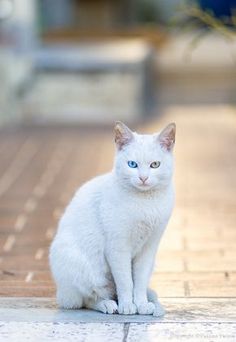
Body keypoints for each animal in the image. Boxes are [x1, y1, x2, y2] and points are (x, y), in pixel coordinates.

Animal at [49, 121, 175, 316]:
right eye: (132, 164)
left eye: (155, 164)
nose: (143, 178)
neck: (145, 202)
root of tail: (61, 293)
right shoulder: (117, 247)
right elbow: (125, 281)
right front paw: (128, 305)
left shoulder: (149, 248)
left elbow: (139, 281)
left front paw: (141, 304)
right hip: (81, 266)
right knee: (88, 298)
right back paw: (109, 305)